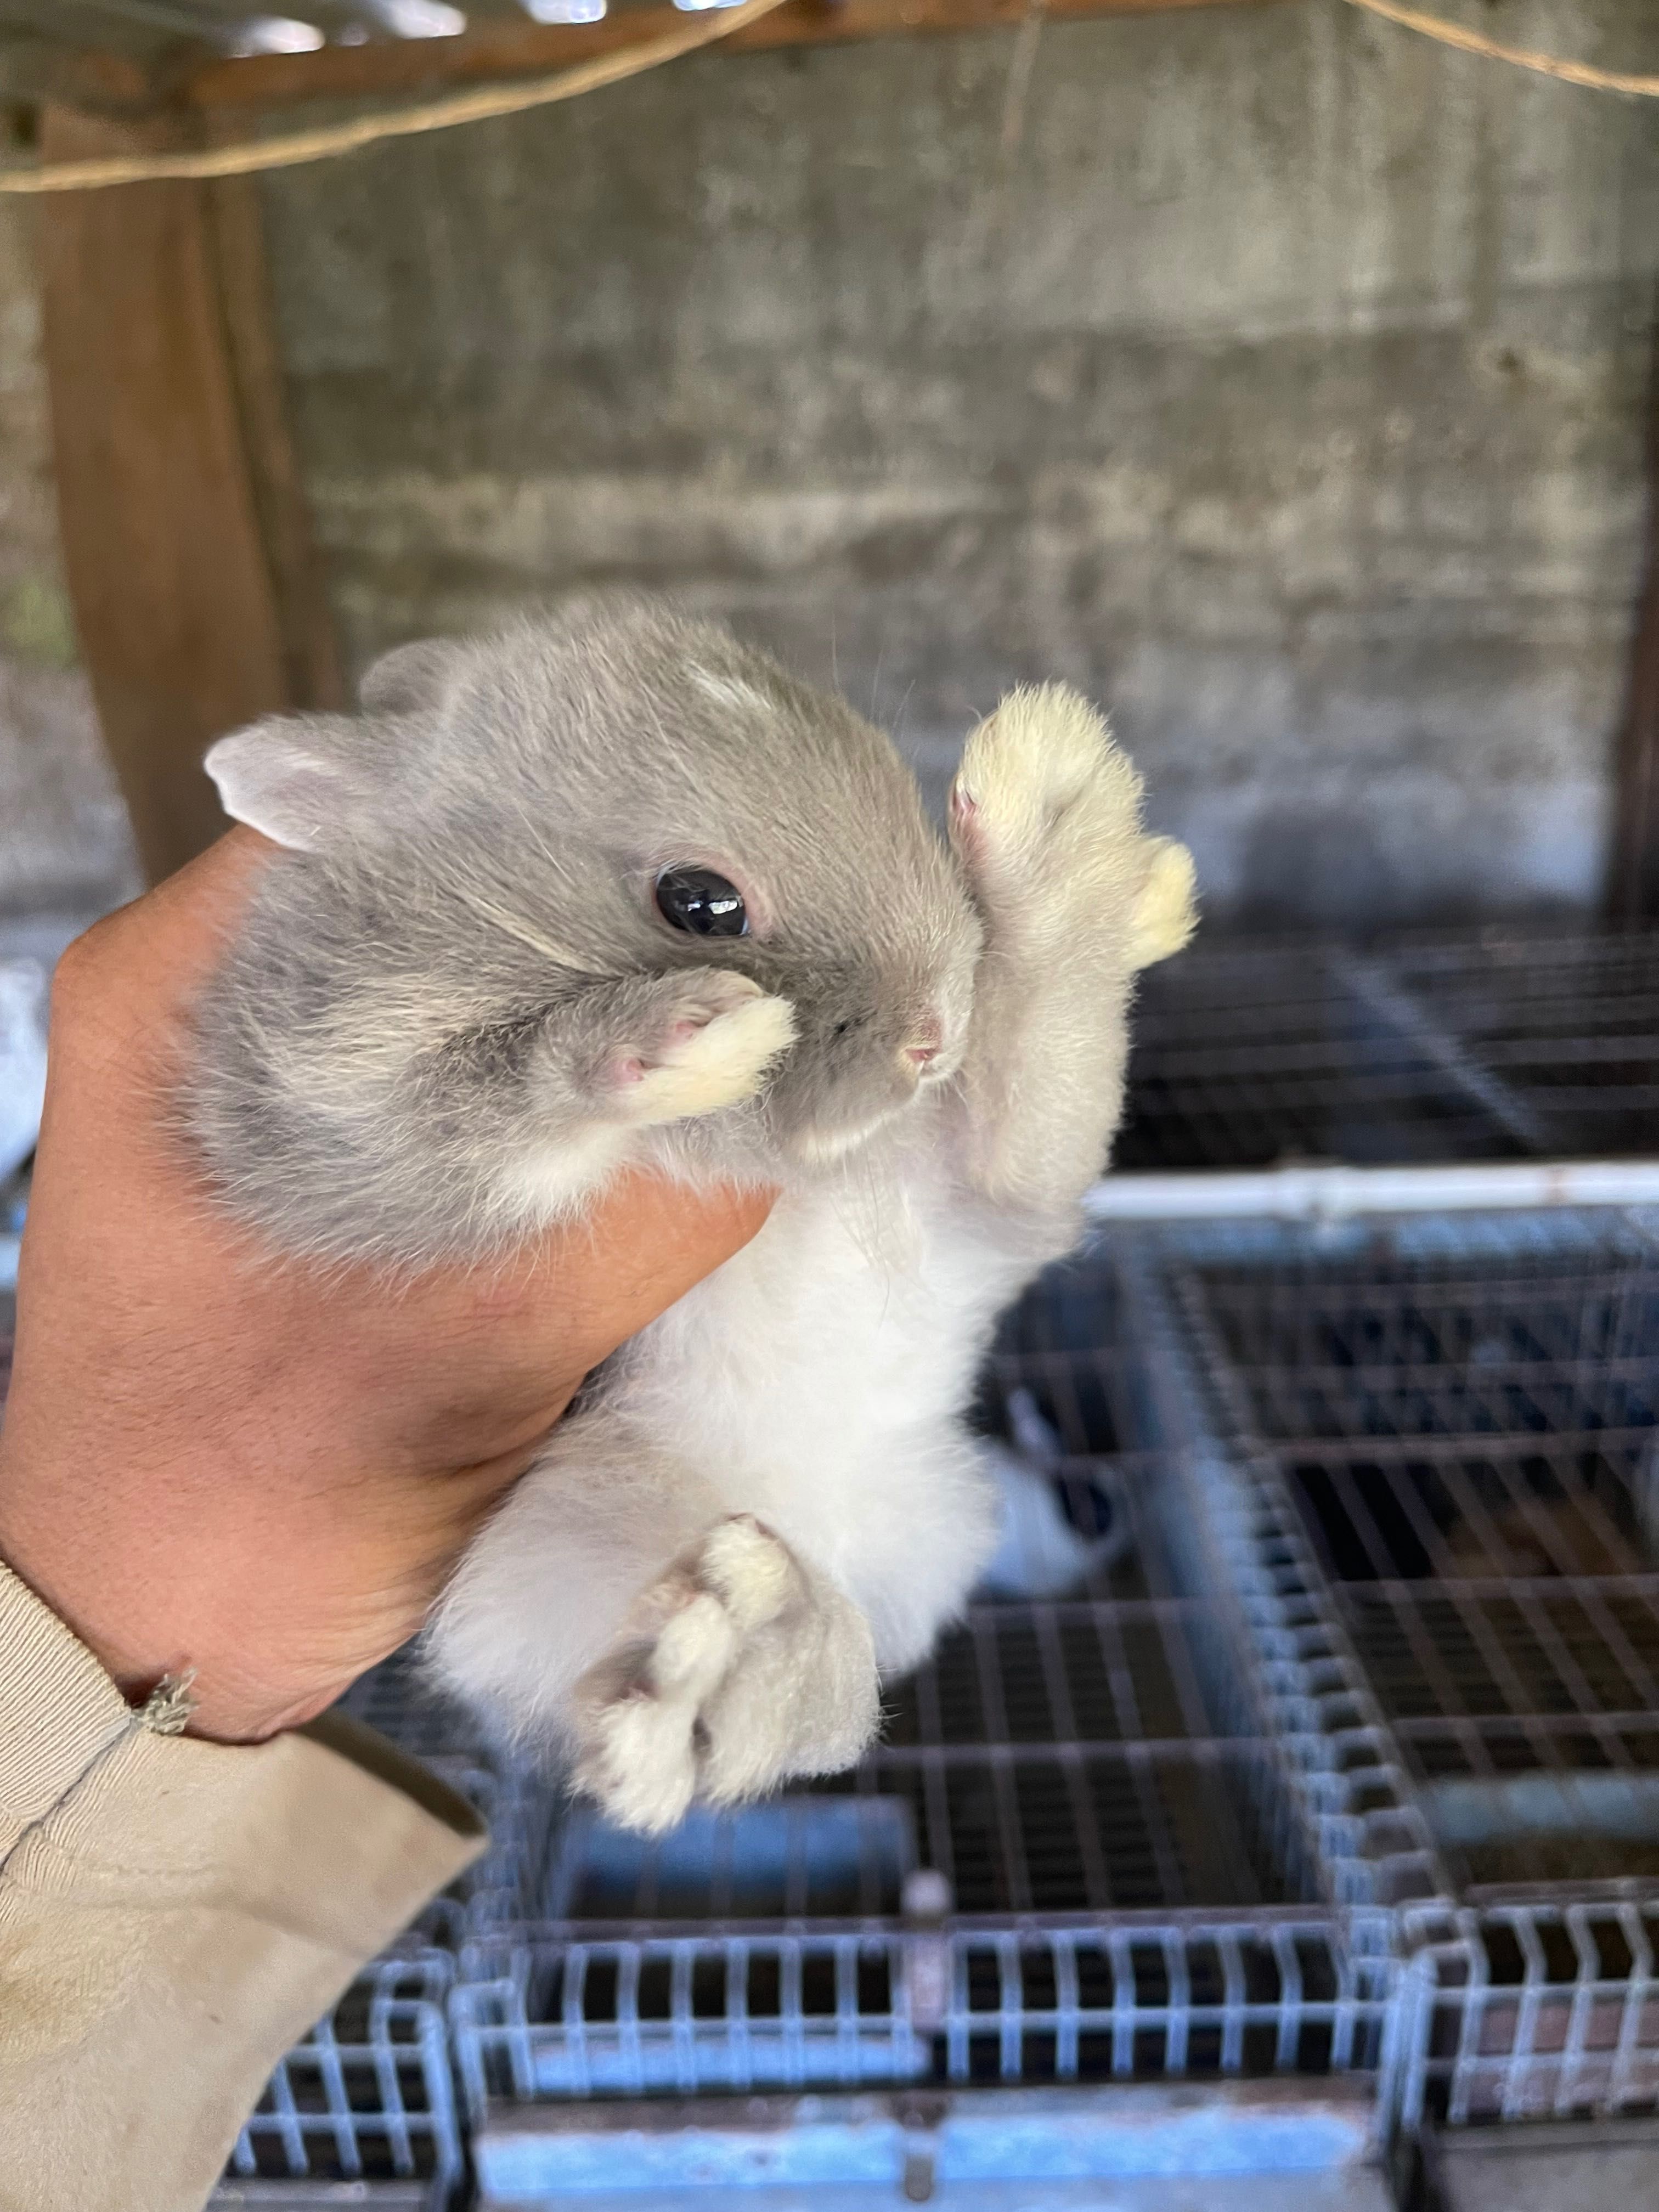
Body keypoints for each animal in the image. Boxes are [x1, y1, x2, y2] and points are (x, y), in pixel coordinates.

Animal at [191, 606, 1194, 1831]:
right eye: (700, 902)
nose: (931, 1034)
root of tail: (822, 1522)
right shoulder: (327, 1112)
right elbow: (486, 1114)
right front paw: (679, 1041)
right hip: (575, 1539)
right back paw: (732, 1646)